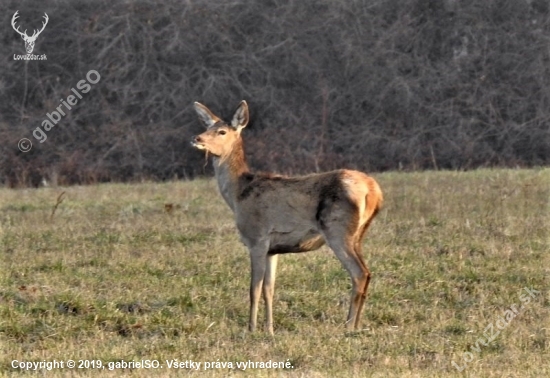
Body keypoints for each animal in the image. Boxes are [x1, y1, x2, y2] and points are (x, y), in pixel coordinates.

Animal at [193, 100, 384, 334]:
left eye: (221, 131)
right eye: (207, 126)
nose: (197, 139)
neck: (238, 195)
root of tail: (373, 190)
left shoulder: (257, 238)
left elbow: (254, 289)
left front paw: (251, 329)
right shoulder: (272, 249)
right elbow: (269, 289)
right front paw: (269, 329)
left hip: (338, 229)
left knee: (359, 273)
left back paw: (347, 325)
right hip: (358, 234)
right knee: (368, 273)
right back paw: (357, 324)